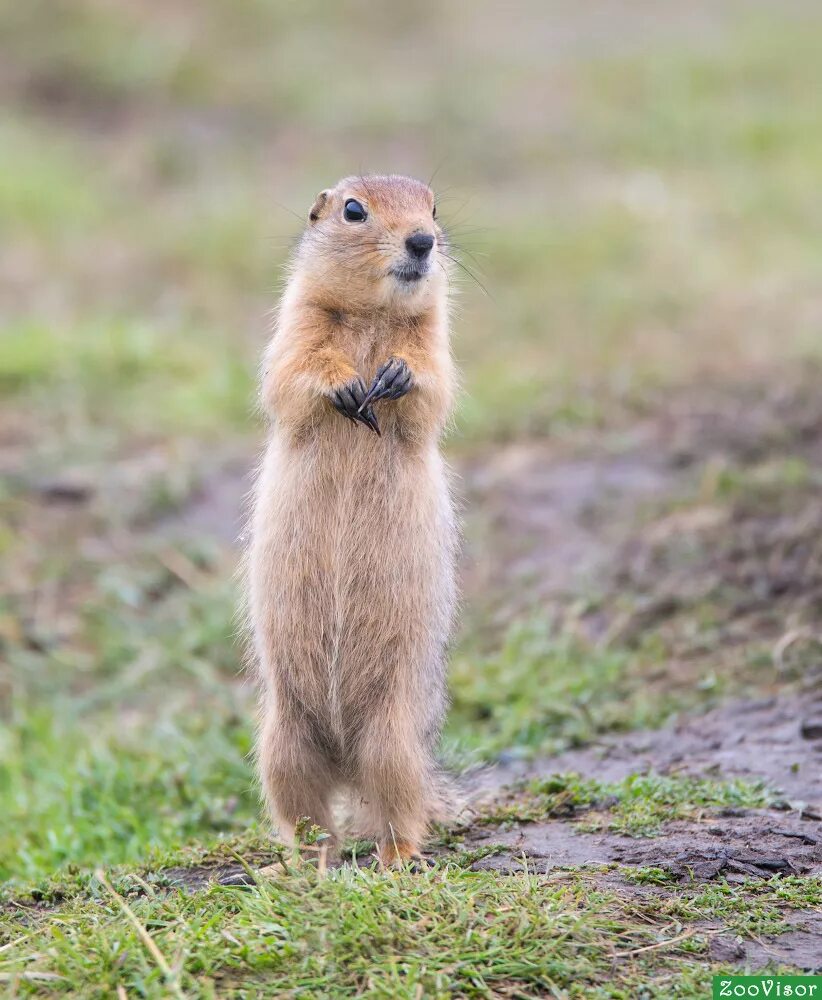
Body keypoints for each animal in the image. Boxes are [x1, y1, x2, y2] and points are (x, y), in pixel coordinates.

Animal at [248, 174, 460, 868]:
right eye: (353, 210)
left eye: (434, 208)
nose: (422, 241)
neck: (373, 316)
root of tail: (344, 758)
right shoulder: (296, 322)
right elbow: (292, 373)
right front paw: (343, 386)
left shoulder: (434, 335)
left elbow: (433, 384)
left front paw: (395, 375)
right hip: (281, 744)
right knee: (312, 820)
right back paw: (301, 864)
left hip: (393, 742)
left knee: (395, 808)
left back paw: (398, 860)